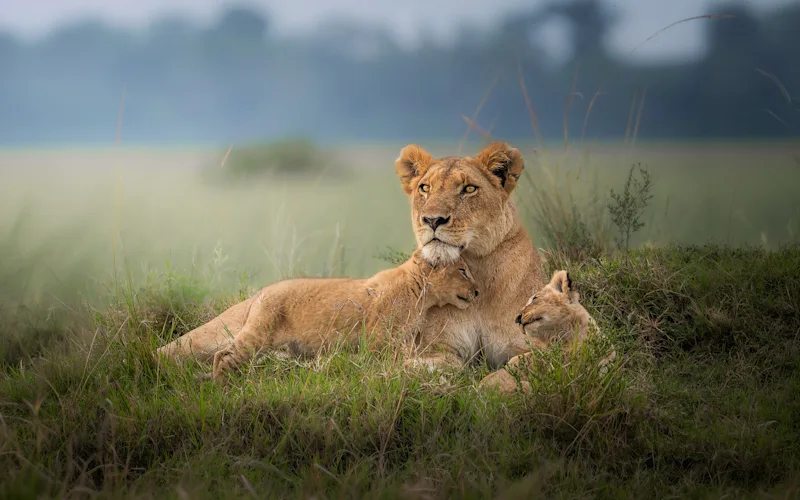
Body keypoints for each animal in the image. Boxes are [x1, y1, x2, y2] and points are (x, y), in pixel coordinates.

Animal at [209, 250, 479, 380]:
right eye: (463, 271)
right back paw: (221, 386)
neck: (420, 292)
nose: (478, 291)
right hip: (259, 334)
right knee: (223, 355)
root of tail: (260, 293)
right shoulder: (378, 342)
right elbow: (385, 362)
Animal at [395, 141, 545, 371]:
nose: (432, 220)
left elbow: (516, 364)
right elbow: (425, 365)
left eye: (469, 189)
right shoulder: (437, 349)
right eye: (425, 188)